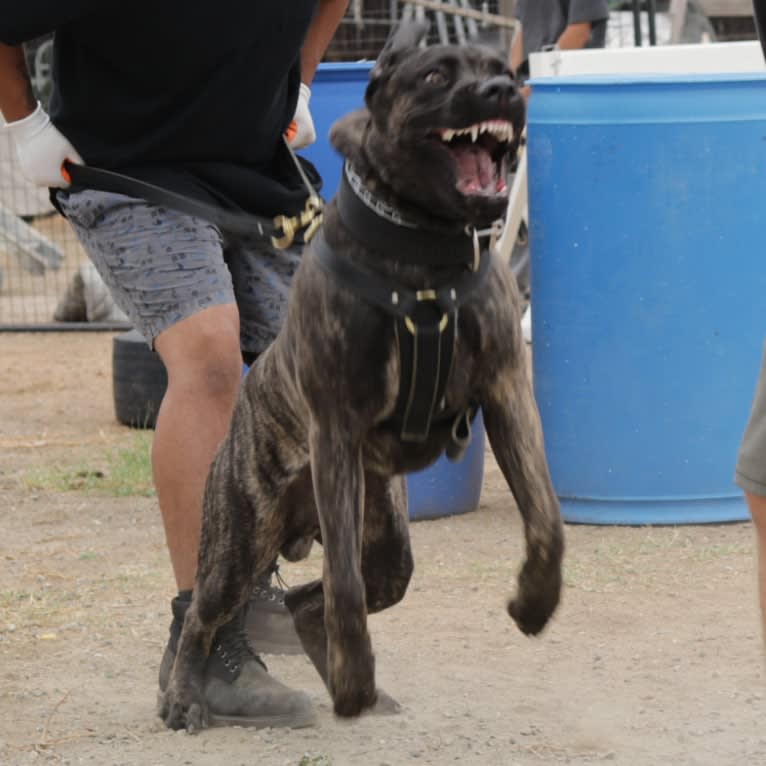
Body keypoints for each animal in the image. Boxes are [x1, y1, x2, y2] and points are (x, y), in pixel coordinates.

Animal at [159, 22, 564, 732]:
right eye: (435, 76)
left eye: (499, 68)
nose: (502, 91)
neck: (423, 252)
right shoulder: (338, 428)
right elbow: (342, 588)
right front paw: (352, 677)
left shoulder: (508, 392)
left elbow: (546, 521)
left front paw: (534, 602)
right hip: (240, 545)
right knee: (205, 618)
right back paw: (188, 695)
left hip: (388, 552)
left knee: (304, 602)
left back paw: (361, 688)